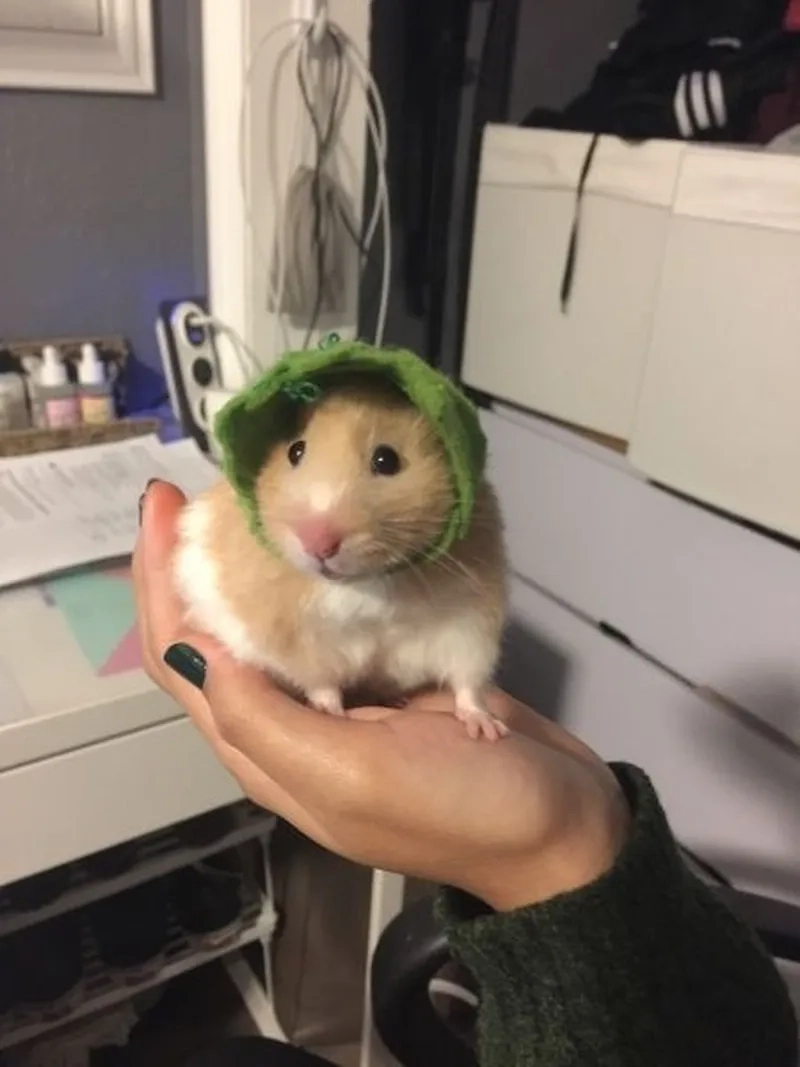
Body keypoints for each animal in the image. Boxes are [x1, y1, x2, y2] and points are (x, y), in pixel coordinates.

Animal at [173, 378, 509, 740]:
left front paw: (486, 730)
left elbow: (468, 683)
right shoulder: (299, 638)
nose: (317, 544)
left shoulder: (470, 623)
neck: (367, 584)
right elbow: (321, 681)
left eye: (386, 460)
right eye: (295, 451)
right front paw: (328, 712)